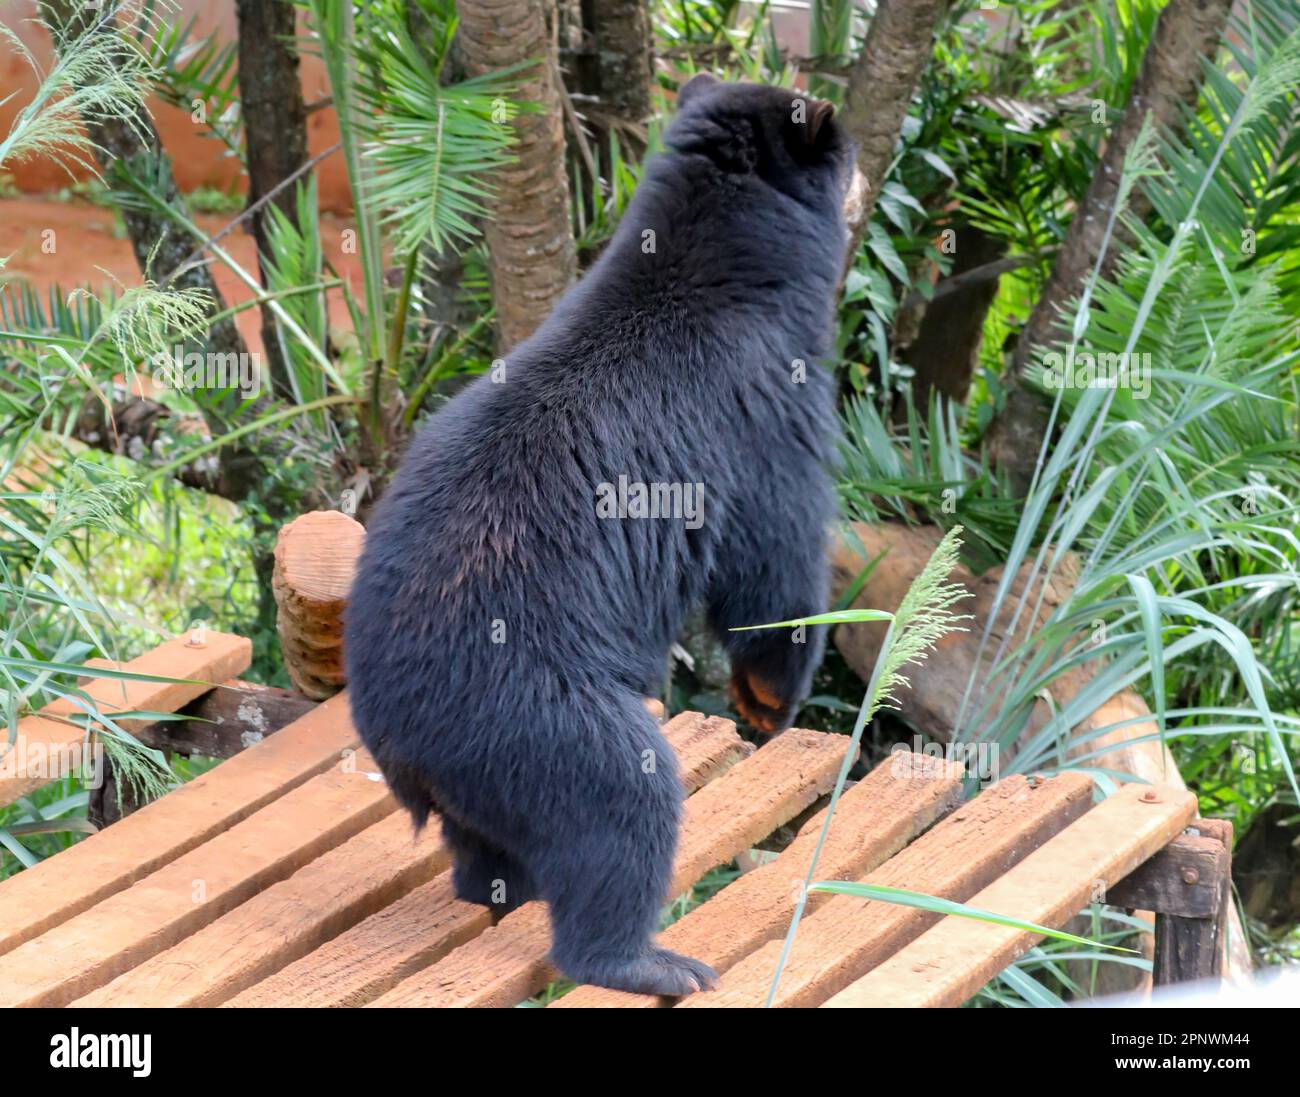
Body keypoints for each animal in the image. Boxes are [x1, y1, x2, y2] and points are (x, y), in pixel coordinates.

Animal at [344, 74, 854, 997]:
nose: (868, 177)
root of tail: (396, 741)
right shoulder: (765, 407)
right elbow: (776, 560)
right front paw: (768, 698)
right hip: (530, 705)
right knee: (625, 795)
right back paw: (651, 959)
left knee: (493, 844)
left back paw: (502, 887)